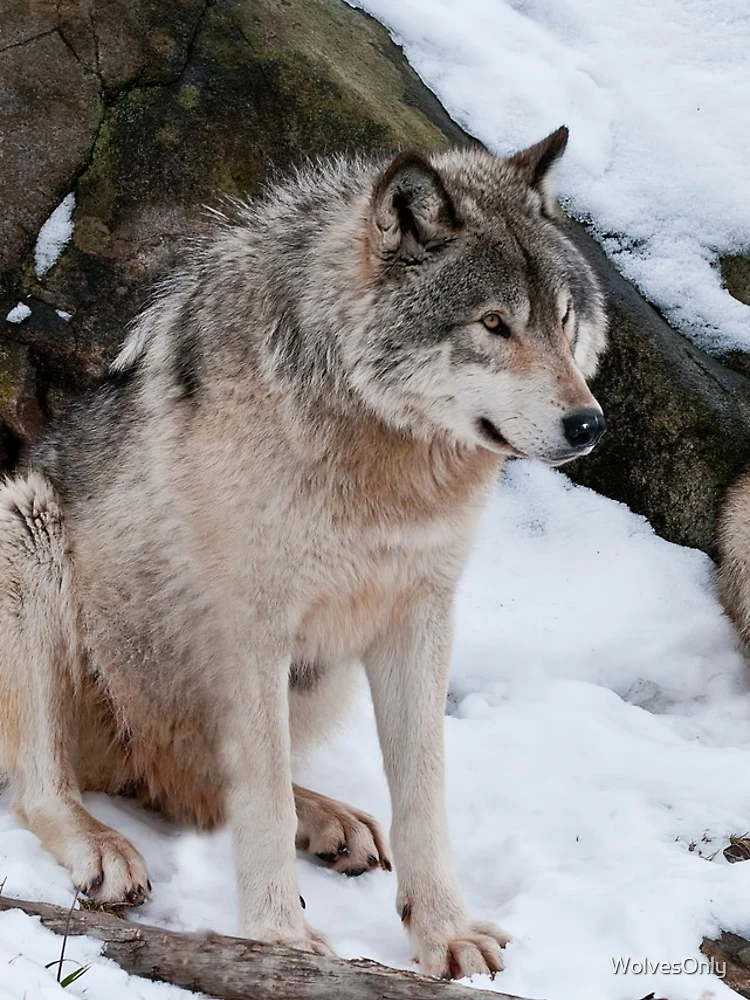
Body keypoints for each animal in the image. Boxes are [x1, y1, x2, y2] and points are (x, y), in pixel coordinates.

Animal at [0, 126, 607, 980]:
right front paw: (279, 937)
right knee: (47, 786)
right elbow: (259, 794)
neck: (383, 466)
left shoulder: (420, 617)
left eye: (563, 318)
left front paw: (446, 932)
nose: (590, 424)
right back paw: (107, 847)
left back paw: (328, 820)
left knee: (194, 789)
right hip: (25, 526)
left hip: (315, 678)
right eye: (494, 325)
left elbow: (423, 790)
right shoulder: (252, 629)